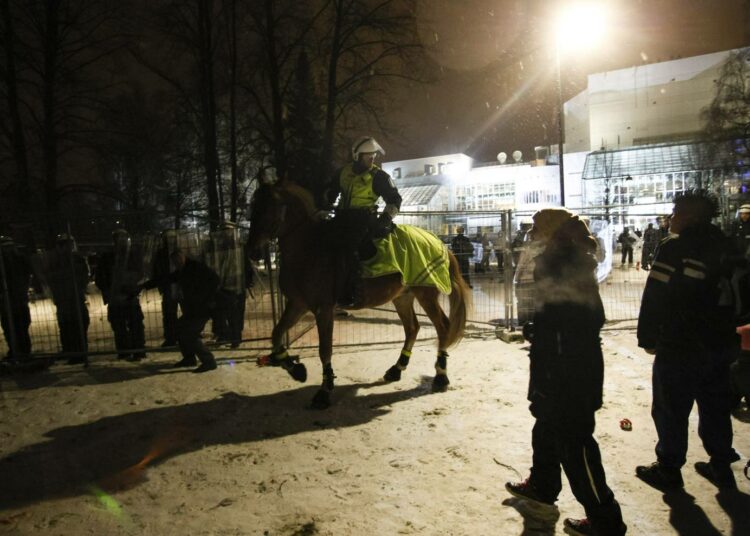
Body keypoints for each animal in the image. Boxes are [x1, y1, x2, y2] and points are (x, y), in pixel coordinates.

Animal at [248, 178, 470, 408]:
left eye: (272, 206)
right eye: (253, 206)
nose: (253, 251)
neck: (309, 248)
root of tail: (440, 243)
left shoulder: (323, 309)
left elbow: (324, 349)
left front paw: (324, 391)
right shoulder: (298, 304)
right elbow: (276, 334)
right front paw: (296, 370)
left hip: (425, 295)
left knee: (442, 327)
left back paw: (441, 376)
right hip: (402, 297)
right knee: (412, 328)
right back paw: (396, 369)